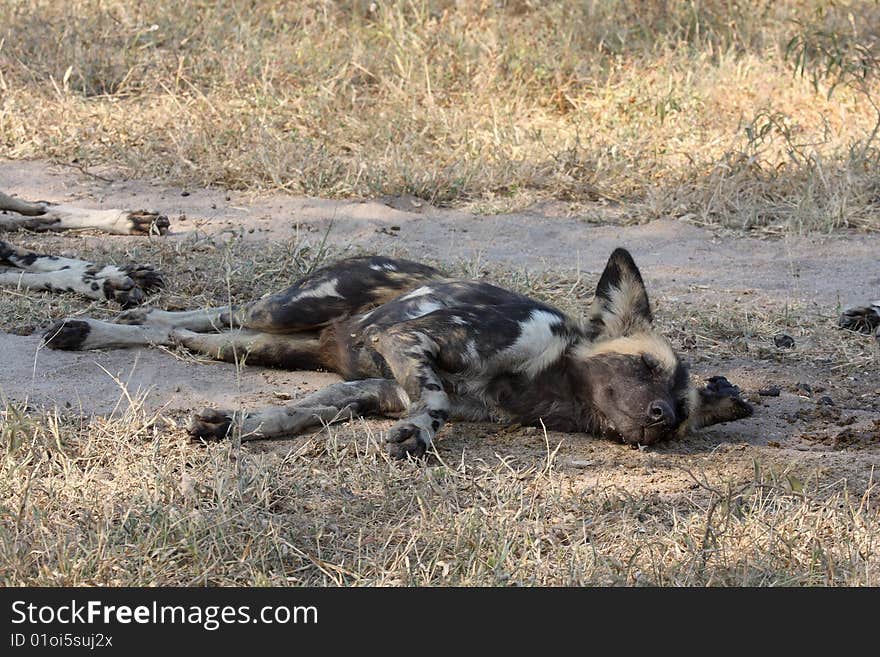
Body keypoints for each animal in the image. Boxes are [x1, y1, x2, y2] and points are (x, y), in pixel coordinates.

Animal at [0, 187, 168, 304]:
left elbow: (45, 260)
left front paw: (116, 271)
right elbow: (43, 272)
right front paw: (103, 285)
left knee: (41, 208)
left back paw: (130, 220)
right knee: (35, 216)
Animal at [43, 246, 756, 456]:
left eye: (682, 413)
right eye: (642, 368)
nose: (661, 416)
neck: (545, 383)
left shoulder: (372, 386)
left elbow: (287, 416)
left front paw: (232, 426)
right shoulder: (411, 342)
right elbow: (434, 402)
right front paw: (417, 435)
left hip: (276, 348)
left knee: (197, 338)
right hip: (284, 308)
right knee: (205, 314)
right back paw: (103, 319)